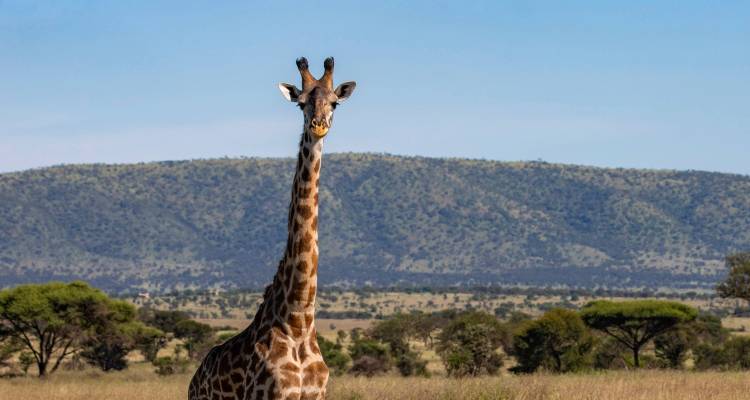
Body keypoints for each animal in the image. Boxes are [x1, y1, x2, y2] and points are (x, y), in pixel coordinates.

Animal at [188, 57, 356, 400]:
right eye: (301, 103)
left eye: (334, 102)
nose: (318, 125)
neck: (298, 320)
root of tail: (193, 380)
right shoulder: (273, 394)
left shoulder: (317, 395)